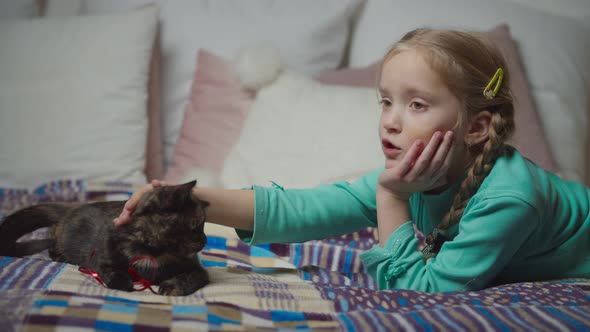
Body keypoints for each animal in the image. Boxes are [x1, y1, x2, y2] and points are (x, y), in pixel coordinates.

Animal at [0, 182, 212, 296]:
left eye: (204, 224)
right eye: (197, 224)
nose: (205, 240)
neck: (153, 251)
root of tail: (71, 207)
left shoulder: (197, 270)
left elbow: (189, 277)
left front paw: (172, 285)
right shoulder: (101, 260)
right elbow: (112, 273)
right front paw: (123, 283)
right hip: (62, 237)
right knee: (52, 244)